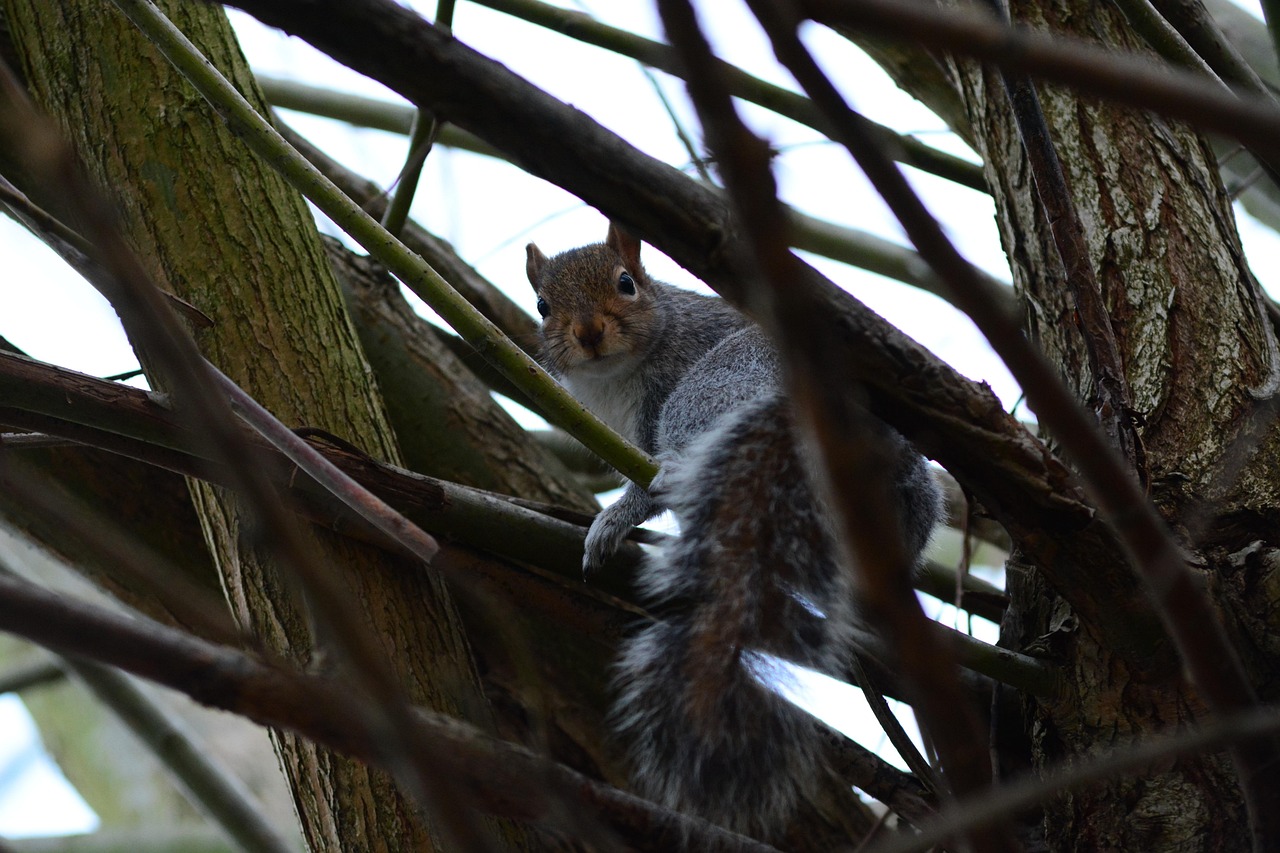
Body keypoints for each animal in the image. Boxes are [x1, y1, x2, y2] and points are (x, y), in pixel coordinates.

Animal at [526, 222, 942, 837]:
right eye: (542, 306)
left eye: (627, 283)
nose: (589, 332)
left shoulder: (658, 402)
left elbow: (643, 487)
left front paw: (615, 520)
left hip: (712, 390)